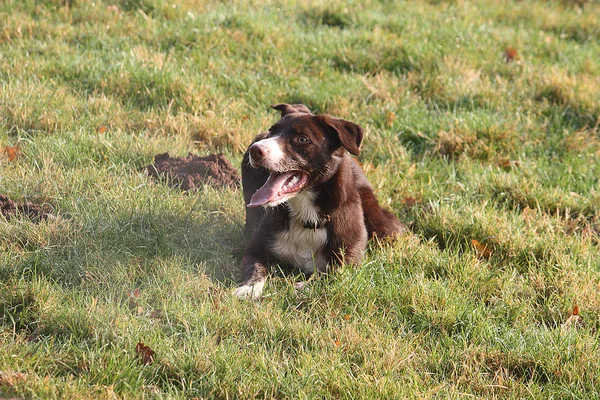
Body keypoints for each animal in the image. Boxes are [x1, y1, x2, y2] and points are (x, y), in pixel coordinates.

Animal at [234, 104, 404, 298]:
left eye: (302, 139)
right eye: (272, 131)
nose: (255, 150)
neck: (307, 217)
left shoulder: (347, 260)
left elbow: (330, 274)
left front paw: (302, 287)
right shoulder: (256, 249)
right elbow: (255, 267)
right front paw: (248, 288)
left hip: (381, 222)